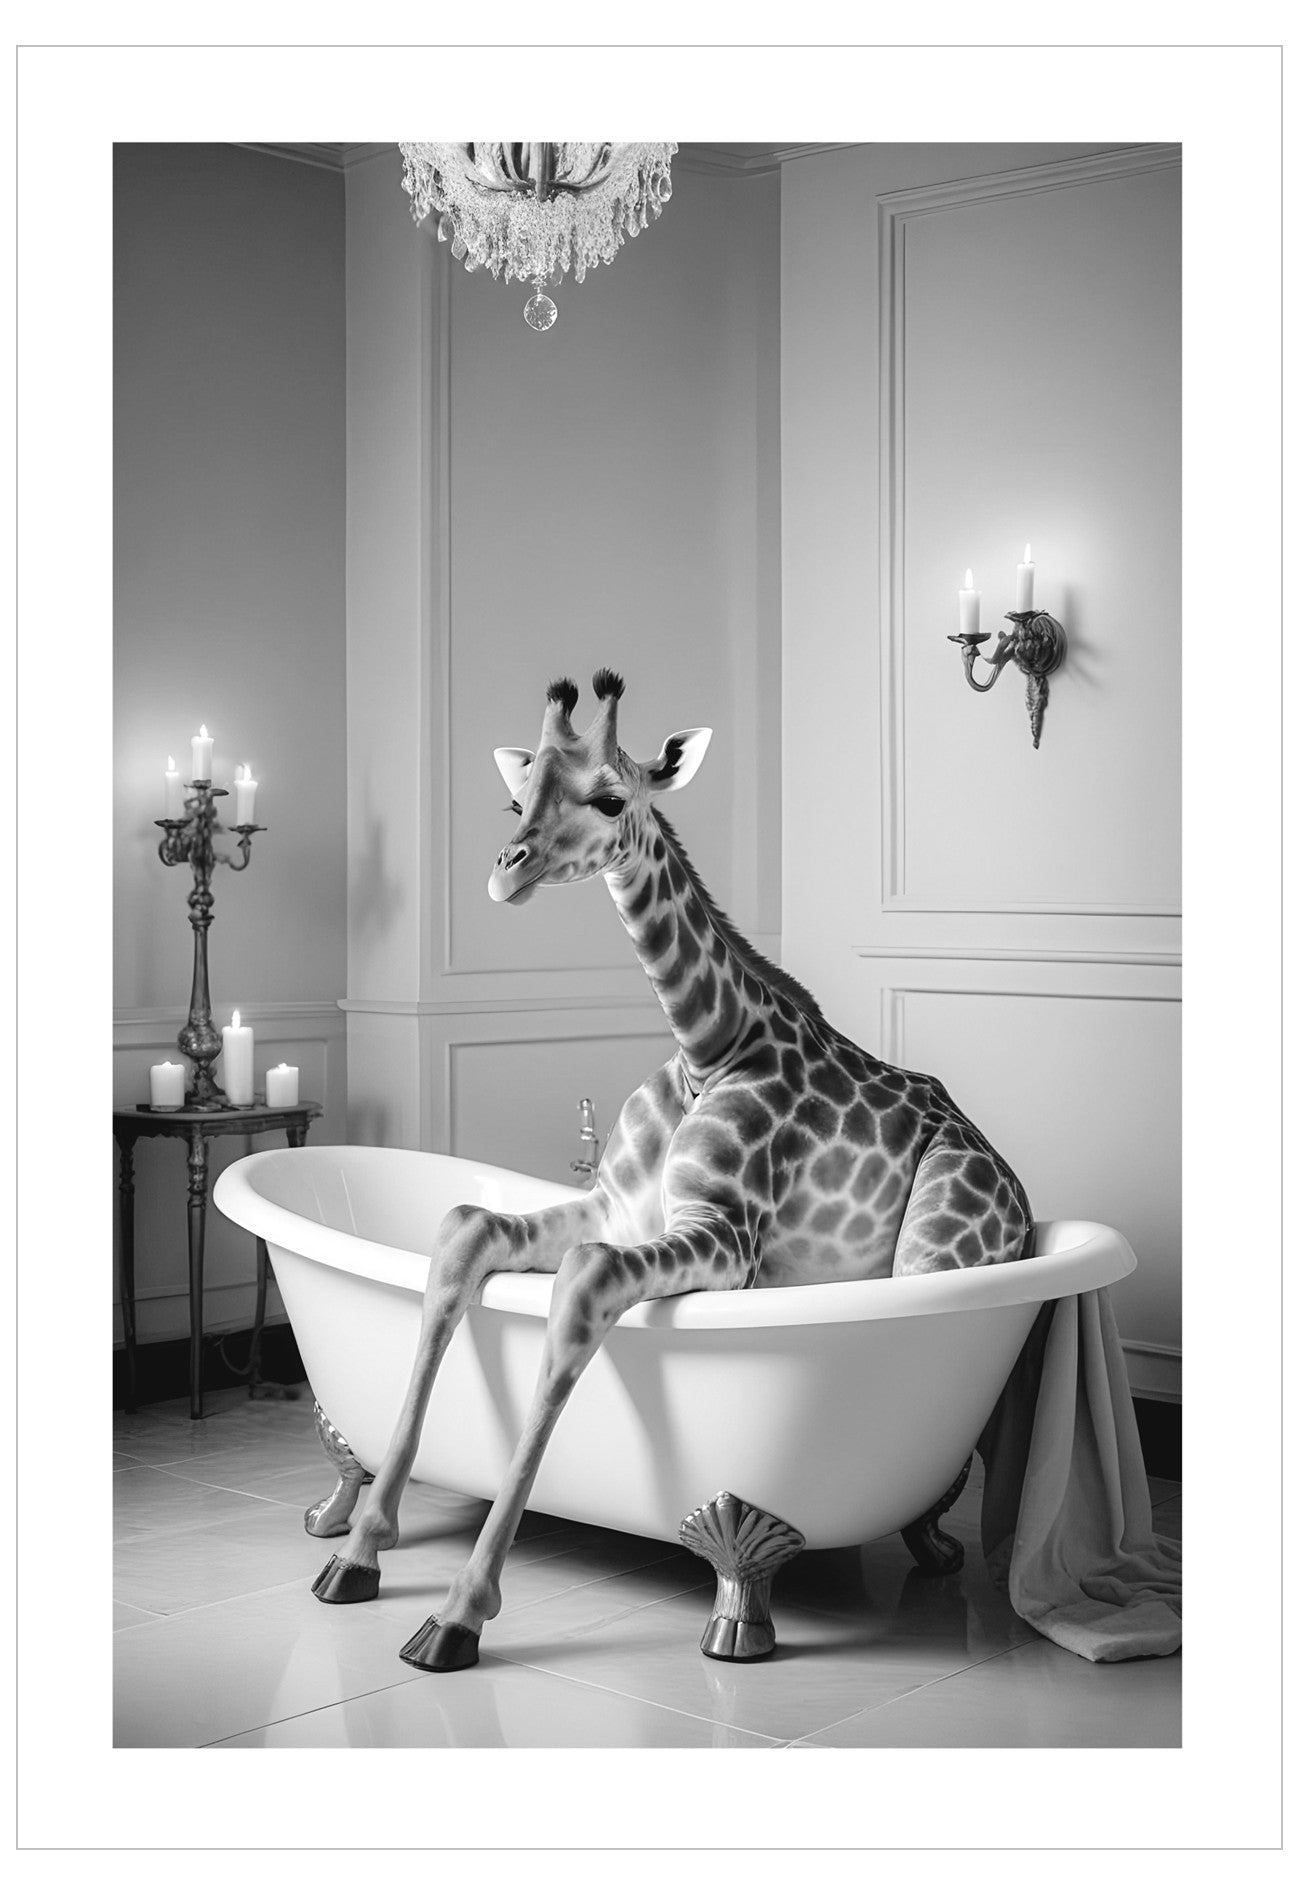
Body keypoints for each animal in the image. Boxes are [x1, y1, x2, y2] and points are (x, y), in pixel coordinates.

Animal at [312, 670, 1032, 1670]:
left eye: (611, 798)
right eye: (516, 797)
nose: (505, 868)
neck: (707, 1045)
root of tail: (1019, 1189)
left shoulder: (722, 1238)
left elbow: (579, 1290)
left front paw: (459, 1610)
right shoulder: (610, 1209)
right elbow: (459, 1233)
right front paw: (361, 1547)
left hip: (933, 1246)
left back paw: (927, 1536)